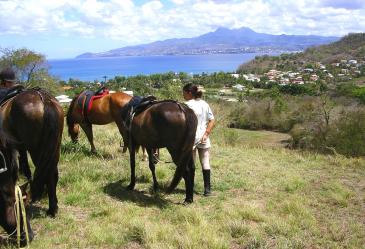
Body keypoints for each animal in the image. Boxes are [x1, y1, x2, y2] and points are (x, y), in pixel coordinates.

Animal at [0, 88, 64, 217]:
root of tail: (44, 98)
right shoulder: (20, 147)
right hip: (54, 149)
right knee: (52, 173)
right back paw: (53, 205)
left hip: (36, 150)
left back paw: (50, 208)